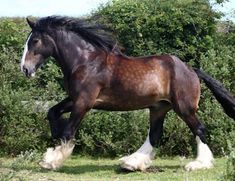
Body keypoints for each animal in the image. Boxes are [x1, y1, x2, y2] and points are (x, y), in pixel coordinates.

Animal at [20, 15, 235, 171]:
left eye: (35, 40)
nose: (25, 69)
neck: (85, 61)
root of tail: (191, 69)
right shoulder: (76, 99)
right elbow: (52, 112)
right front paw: (54, 137)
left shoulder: (84, 102)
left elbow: (68, 131)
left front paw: (52, 159)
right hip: (159, 107)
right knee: (155, 135)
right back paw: (132, 163)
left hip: (184, 107)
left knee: (199, 129)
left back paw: (199, 164)